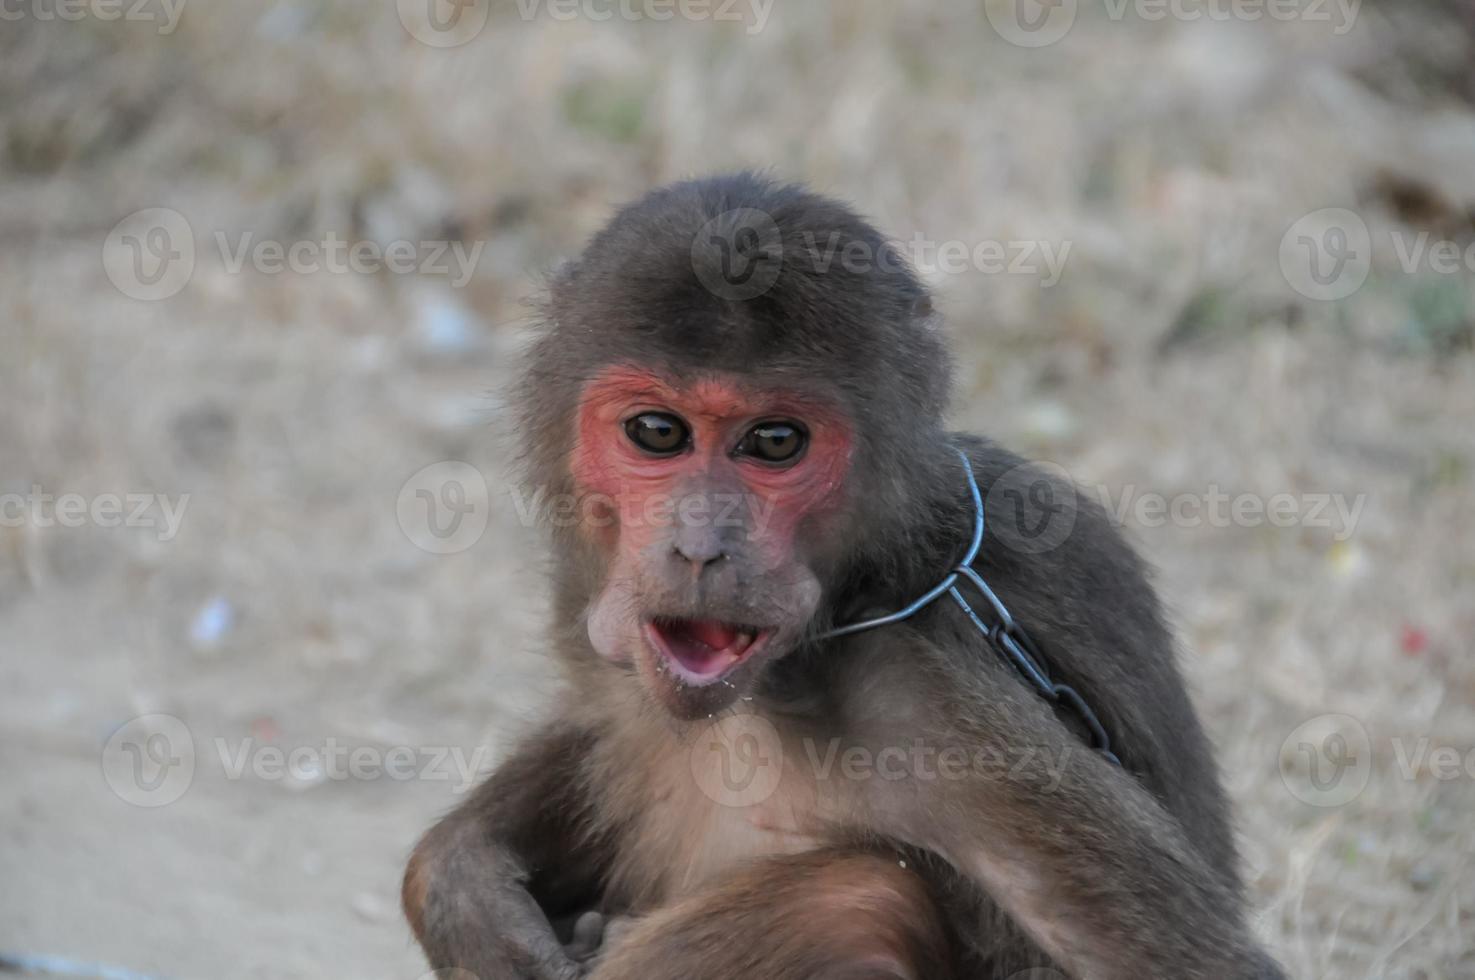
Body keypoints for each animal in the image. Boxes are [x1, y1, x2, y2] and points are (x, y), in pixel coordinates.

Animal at [401, 176, 1280, 980]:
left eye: (774, 442)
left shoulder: (924, 702)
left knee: (855, 903)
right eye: (656, 432)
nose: (700, 549)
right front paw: (459, 881)